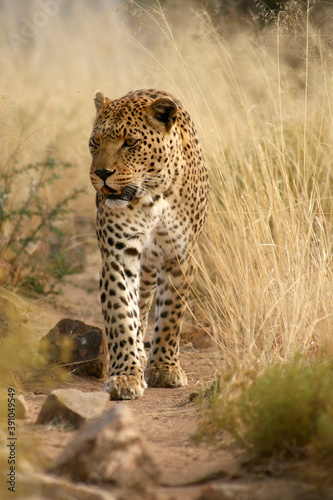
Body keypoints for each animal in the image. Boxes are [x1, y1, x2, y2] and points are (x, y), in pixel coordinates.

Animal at [88, 87, 208, 398]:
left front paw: (164, 369)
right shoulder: (118, 255)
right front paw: (125, 375)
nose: (101, 174)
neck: (152, 194)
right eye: (95, 142)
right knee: (138, 306)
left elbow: (170, 315)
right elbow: (121, 312)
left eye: (130, 142)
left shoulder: (179, 256)